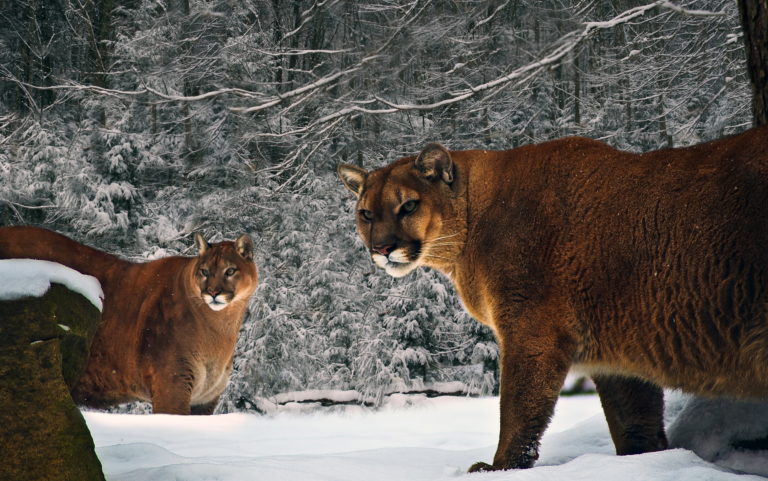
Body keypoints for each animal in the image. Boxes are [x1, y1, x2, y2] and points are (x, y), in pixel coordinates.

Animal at [0, 226, 258, 415]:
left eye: (230, 271)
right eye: (204, 271)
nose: (213, 292)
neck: (220, 327)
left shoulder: (205, 400)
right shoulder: (172, 386)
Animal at [338, 125, 768, 471]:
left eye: (408, 205)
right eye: (366, 214)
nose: (382, 248)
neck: (471, 223)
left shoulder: (532, 329)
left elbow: (517, 406)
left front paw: (500, 466)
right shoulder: (621, 357)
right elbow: (635, 425)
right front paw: (646, 463)